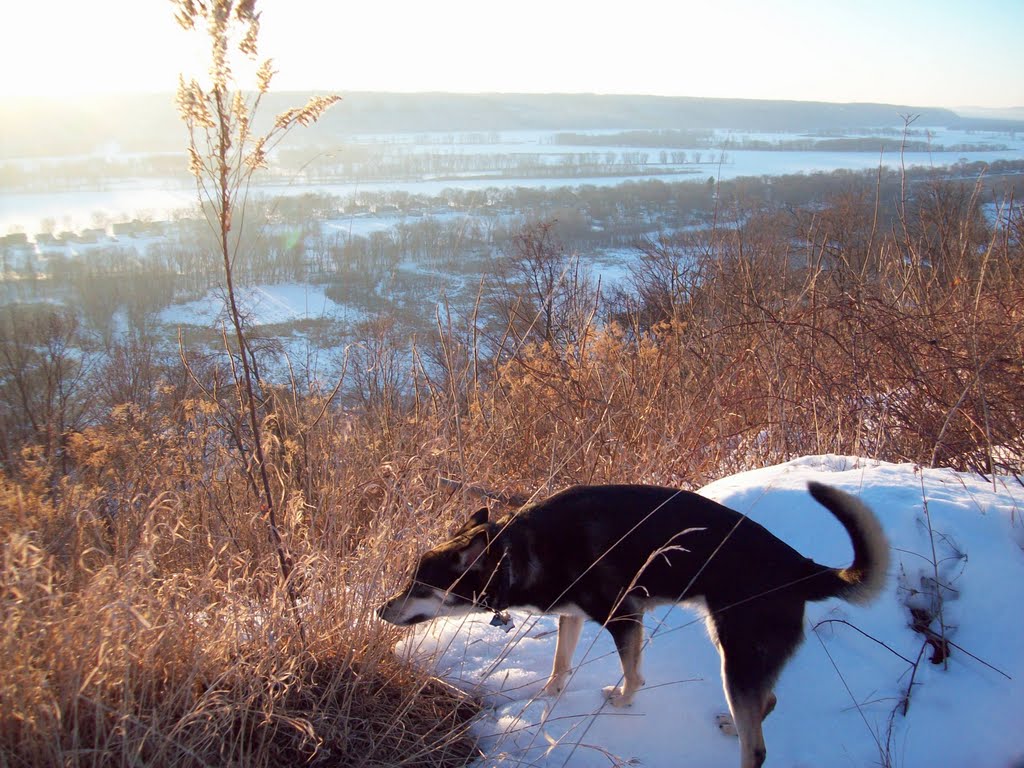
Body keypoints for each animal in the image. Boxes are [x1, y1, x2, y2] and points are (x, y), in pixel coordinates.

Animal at [376, 483, 888, 765]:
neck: (518, 553)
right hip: (738, 654)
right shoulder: (571, 617)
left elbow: (633, 677)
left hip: (737, 654)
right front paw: (544, 698)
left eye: (420, 584)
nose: (381, 610)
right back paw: (731, 724)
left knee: (757, 748)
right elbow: (559, 666)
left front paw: (620, 702)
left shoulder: (624, 617)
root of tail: (802, 569)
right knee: (767, 703)